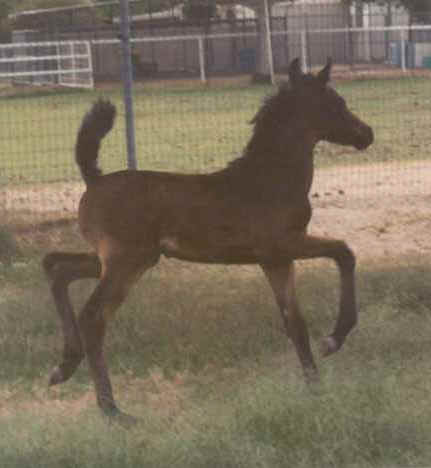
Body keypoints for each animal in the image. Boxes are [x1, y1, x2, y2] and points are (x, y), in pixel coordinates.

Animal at [43, 58, 374, 424]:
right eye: (337, 103)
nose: (367, 134)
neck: (272, 179)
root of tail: (93, 180)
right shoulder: (282, 245)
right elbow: (344, 252)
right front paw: (334, 339)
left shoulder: (275, 260)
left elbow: (295, 322)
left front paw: (316, 389)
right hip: (126, 262)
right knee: (93, 316)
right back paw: (112, 409)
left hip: (119, 258)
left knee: (56, 267)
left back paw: (64, 367)